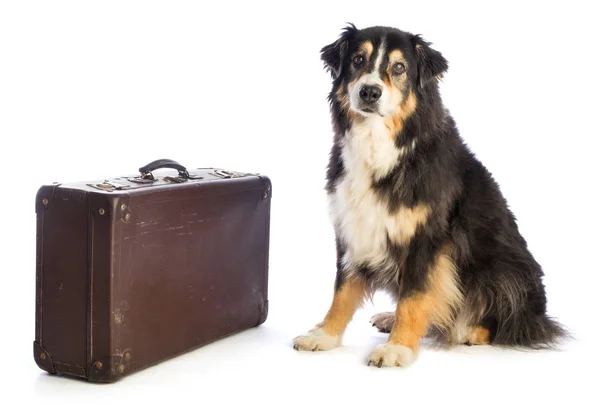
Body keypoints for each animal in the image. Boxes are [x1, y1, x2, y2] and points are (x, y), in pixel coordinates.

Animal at [292, 23, 568, 368]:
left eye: (399, 68)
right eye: (357, 59)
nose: (369, 92)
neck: (380, 143)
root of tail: (541, 313)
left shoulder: (427, 238)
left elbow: (414, 297)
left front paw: (397, 348)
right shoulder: (352, 227)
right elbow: (342, 291)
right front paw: (324, 335)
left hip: (504, 271)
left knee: (512, 325)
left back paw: (469, 330)